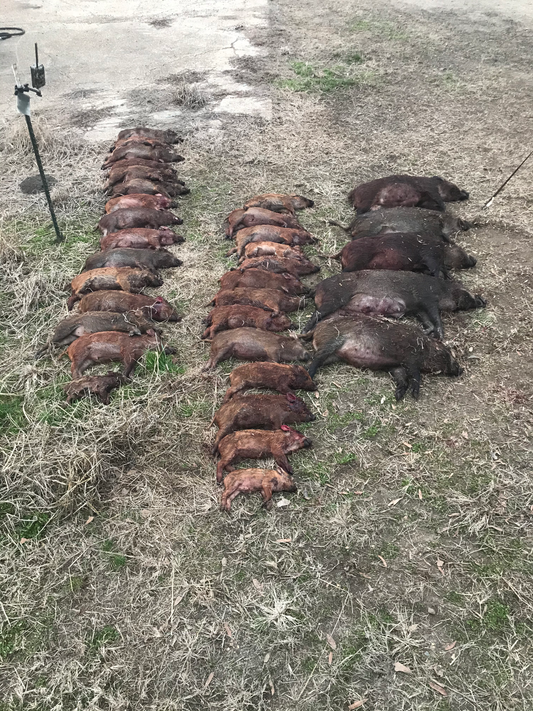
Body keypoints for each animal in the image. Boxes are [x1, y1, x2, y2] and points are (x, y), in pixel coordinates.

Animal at [302, 270, 486, 338]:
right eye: (464, 288)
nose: (483, 301)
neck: (442, 290)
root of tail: (316, 287)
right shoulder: (427, 298)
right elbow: (435, 316)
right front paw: (440, 335)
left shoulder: (417, 309)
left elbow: (426, 320)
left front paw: (427, 332)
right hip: (335, 298)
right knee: (317, 313)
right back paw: (304, 330)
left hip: (337, 310)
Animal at [308, 313, 462, 399]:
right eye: (447, 352)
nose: (461, 369)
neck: (424, 346)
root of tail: (316, 329)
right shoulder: (410, 358)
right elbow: (415, 375)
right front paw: (415, 395)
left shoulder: (396, 366)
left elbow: (403, 379)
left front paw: (398, 396)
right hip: (331, 341)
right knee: (316, 358)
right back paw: (310, 376)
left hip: (334, 356)